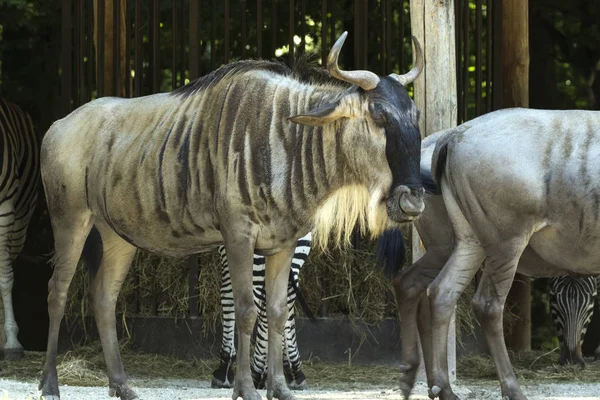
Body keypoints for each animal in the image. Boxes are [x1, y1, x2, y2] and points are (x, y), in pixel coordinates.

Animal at [213, 231, 312, 390]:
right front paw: (288, 367)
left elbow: (228, 295)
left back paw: (256, 374)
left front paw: (224, 369)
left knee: (262, 304)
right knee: (284, 299)